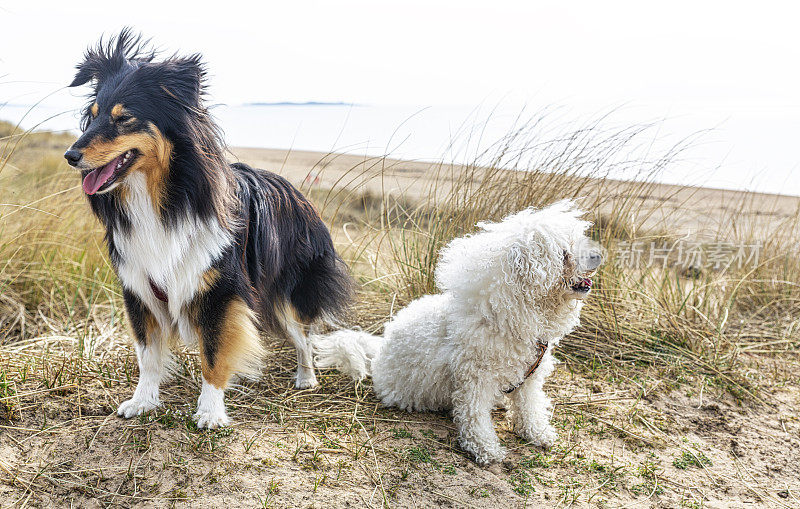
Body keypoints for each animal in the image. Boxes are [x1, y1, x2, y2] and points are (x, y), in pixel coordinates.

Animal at [310, 199, 600, 464]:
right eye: (564, 252)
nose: (597, 256)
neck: (502, 313)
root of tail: (381, 350)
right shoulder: (475, 380)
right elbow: (475, 417)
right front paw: (485, 448)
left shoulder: (529, 378)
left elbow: (529, 407)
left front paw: (537, 433)